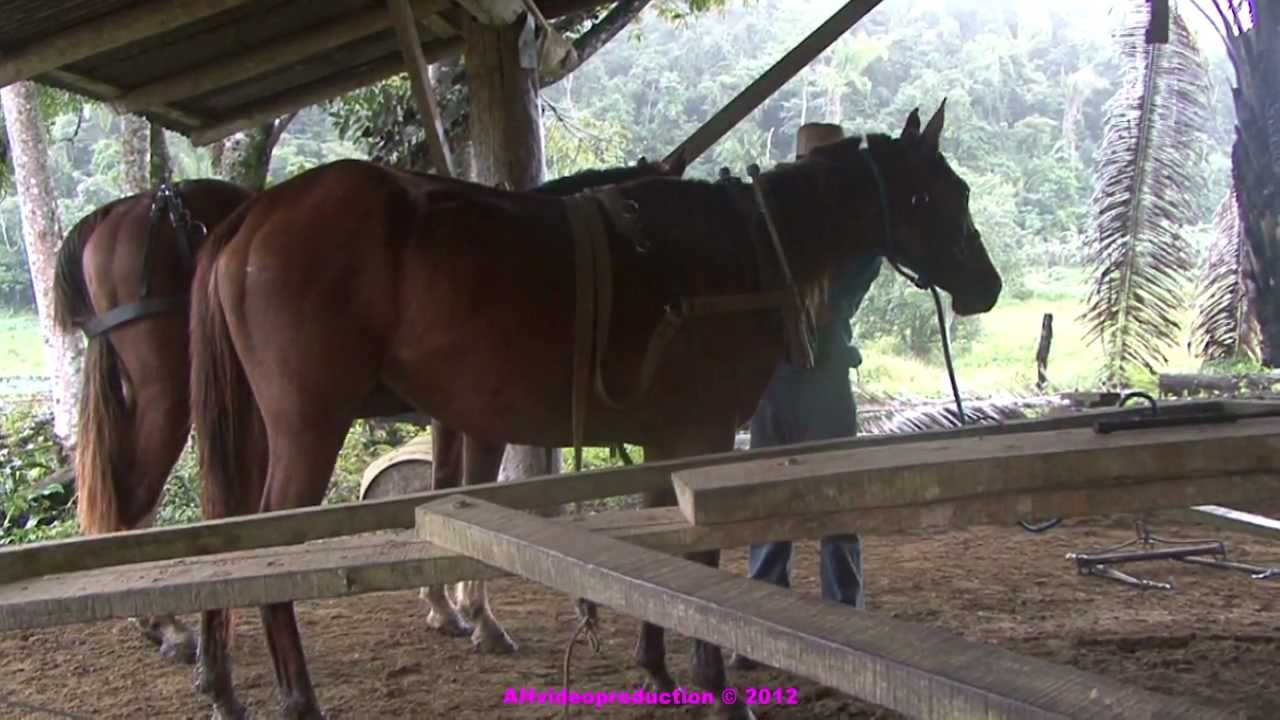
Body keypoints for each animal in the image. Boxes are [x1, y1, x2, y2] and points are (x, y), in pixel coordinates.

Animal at [189, 102, 1001, 720]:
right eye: (945, 195)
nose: (987, 286)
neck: (742, 249)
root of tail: (258, 212)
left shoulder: (662, 439)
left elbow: (662, 544)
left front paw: (657, 666)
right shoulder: (701, 434)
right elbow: (698, 554)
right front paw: (714, 687)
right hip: (308, 426)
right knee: (267, 546)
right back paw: (298, 695)